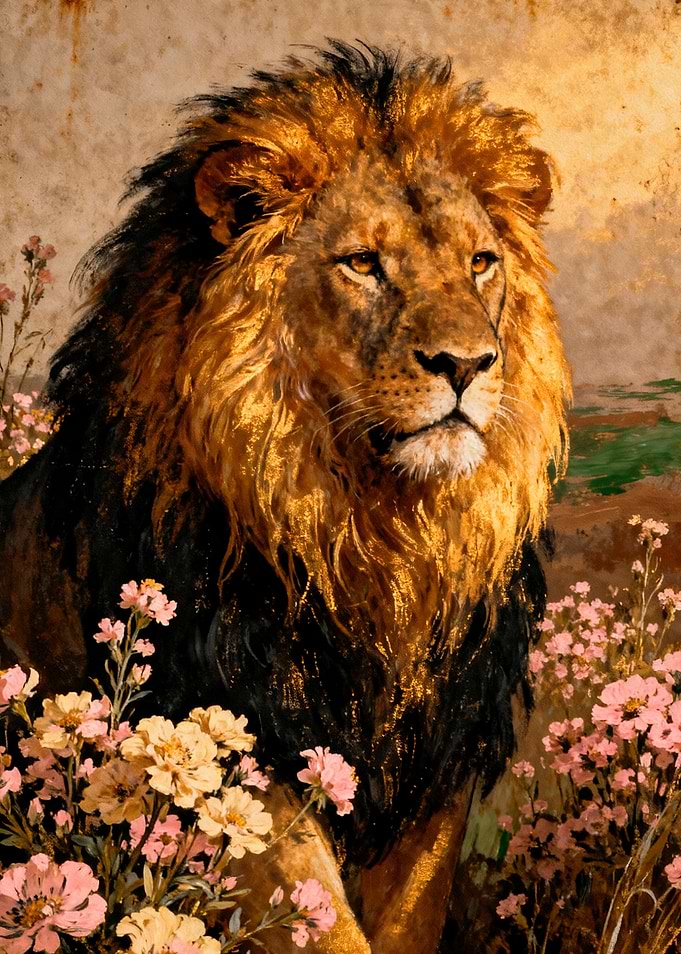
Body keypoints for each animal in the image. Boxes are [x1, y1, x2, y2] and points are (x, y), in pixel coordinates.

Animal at [0, 43, 570, 952]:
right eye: (363, 263)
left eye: (480, 263)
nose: (467, 363)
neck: (373, 540)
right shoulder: (233, 741)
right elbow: (320, 920)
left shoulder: (435, 766)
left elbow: (405, 921)